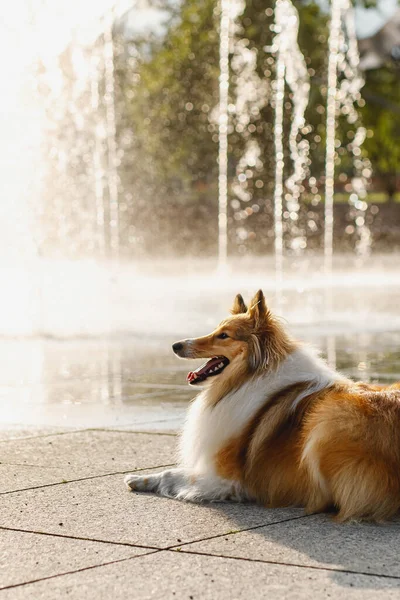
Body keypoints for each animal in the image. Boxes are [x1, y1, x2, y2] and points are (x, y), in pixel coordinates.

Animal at [125, 290, 400, 520]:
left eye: (223, 335)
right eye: (215, 330)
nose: (175, 345)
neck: (251, 375)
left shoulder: (225, 478)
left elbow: (172, 474)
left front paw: (142, 479)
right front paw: (139, 478)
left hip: (328, 420)